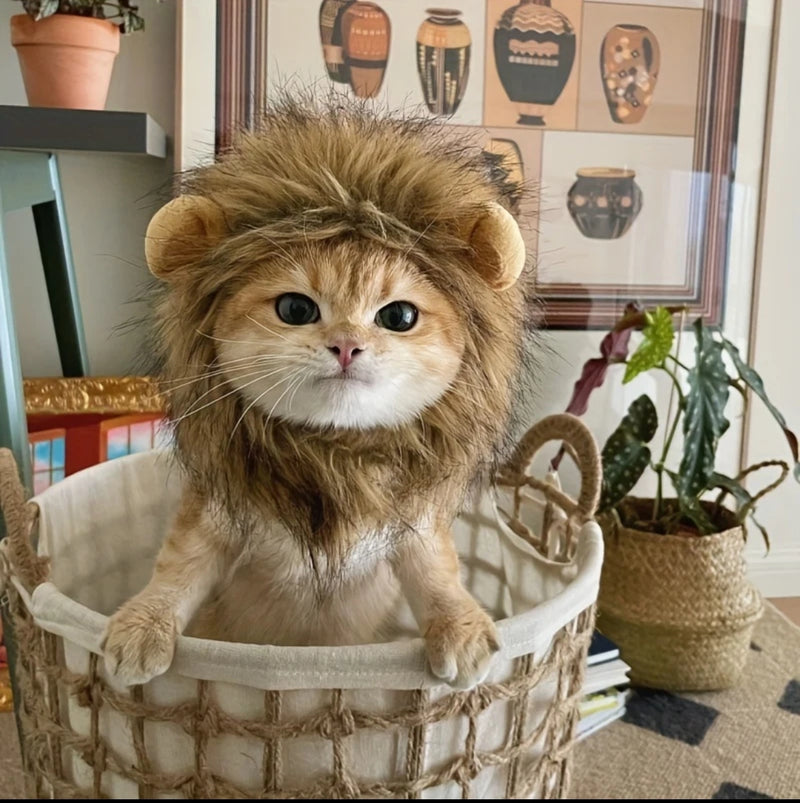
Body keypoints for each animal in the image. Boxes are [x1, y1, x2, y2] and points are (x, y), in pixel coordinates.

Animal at [103, 99, 532, 692]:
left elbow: (440, 577)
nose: (347, 345)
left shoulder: (413, 529)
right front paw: (143, 625)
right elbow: (176, 571)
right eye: (296, 309)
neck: (332, 460)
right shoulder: (213, 520)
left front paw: (462, 629)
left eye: (399, 317)